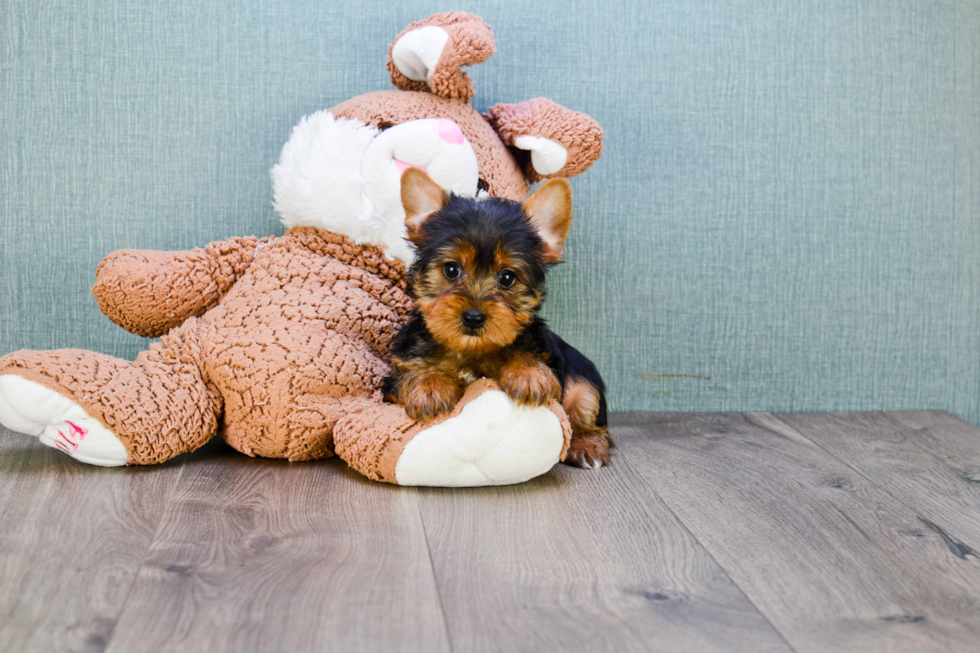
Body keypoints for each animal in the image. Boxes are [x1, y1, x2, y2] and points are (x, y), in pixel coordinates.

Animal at [382, 166, 612, 466]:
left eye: (507, 277)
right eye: (451, 269)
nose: (473, 317)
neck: (471, 350)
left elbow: (526, 354)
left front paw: (528, 373)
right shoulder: (397, 372)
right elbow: (412, 373)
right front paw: (429, 386)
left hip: (583, 380)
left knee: (590, 414)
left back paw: (587, 446)